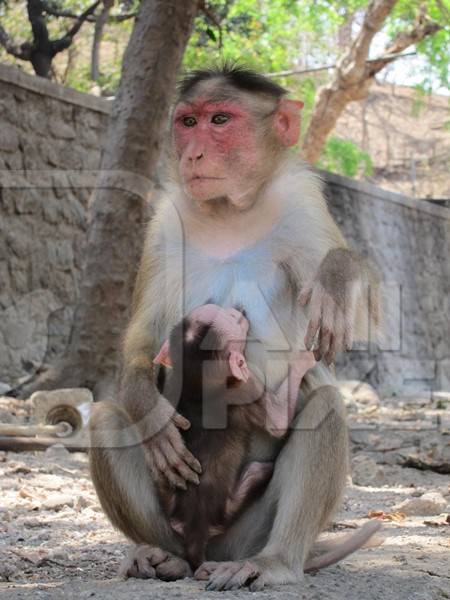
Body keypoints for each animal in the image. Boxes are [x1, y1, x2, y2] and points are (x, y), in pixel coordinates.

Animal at [153, 302, 314, 568]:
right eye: (233, 318)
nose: (238, 308)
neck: (198, 385)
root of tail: (196, 529)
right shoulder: (247, 387)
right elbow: (278, 423)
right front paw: (303, 358)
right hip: (226, 510)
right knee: (259, 471)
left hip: (169, 502)